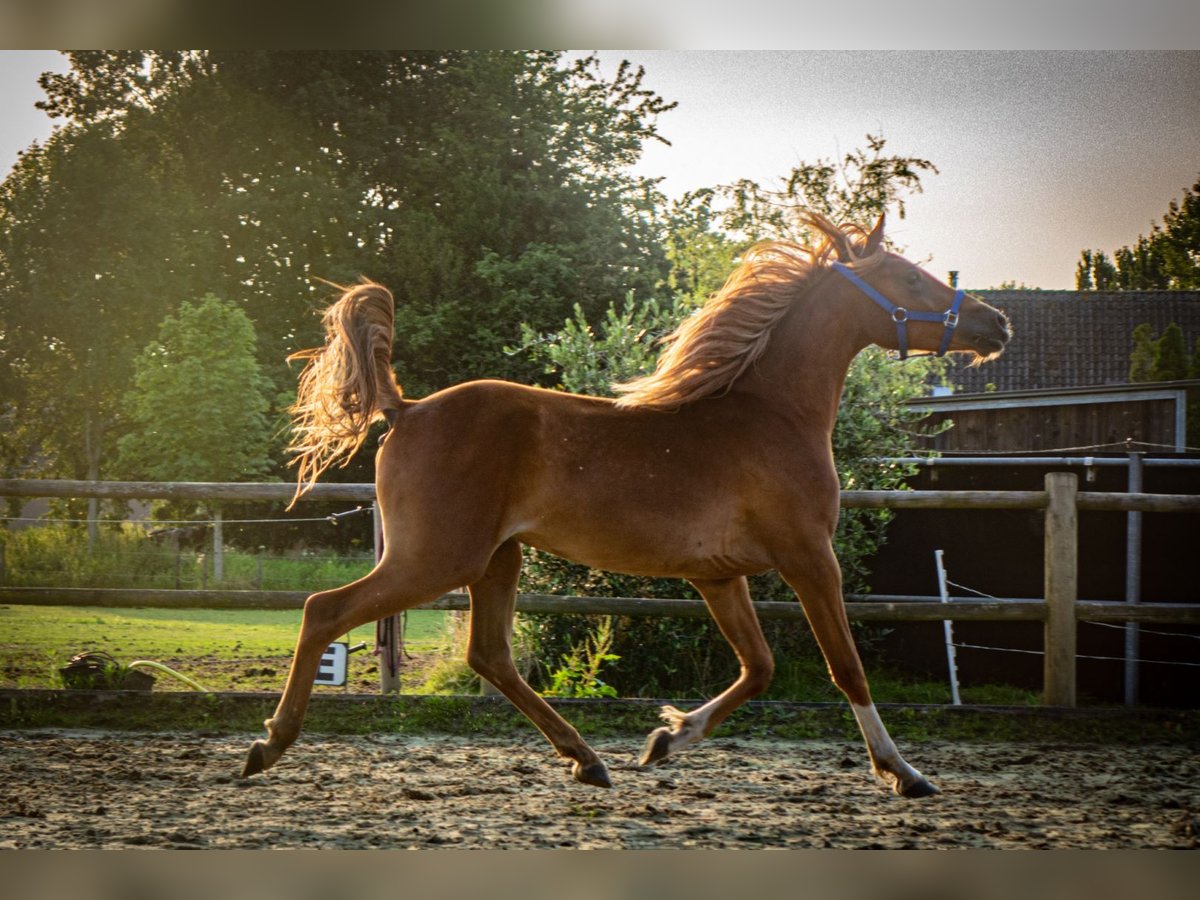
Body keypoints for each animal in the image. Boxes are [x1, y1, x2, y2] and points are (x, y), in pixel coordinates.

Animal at [243, 211, 1012, 796]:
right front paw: (904, 772)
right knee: (325, 611)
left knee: (490, 656)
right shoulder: (808, 558)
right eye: (908, 278)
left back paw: (587, 760)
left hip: (497, 558)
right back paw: (269, 745)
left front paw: (667, 739)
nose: (996, 323)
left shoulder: (719, 577)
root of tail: (405, 409)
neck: (772, 416)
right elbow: (844, 667)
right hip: (438, 557)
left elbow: (758, 669)